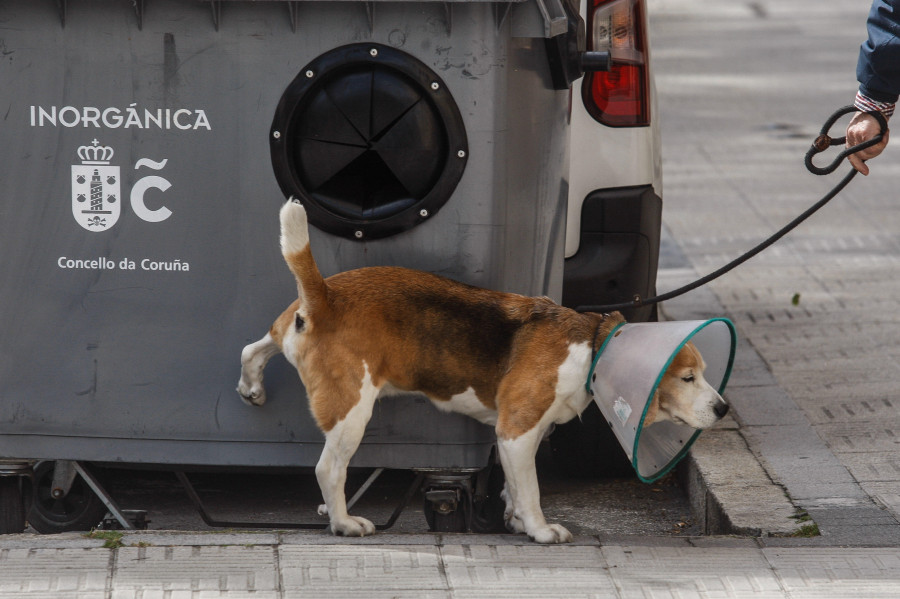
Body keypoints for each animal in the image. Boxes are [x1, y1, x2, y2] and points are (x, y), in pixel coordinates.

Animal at [236, 200, 728, 544]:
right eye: (687, 378)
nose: (723, 409)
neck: (591, 343)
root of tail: (324, 297)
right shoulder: (518, 431)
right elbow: (531, 489)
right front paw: (540, 530)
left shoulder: (518, 438)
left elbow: (514, 486)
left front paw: (515, 520)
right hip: (352, 411)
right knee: (328, 469)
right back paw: (343, 521)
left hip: (289, 333)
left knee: (254, 346)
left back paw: (251, 386)